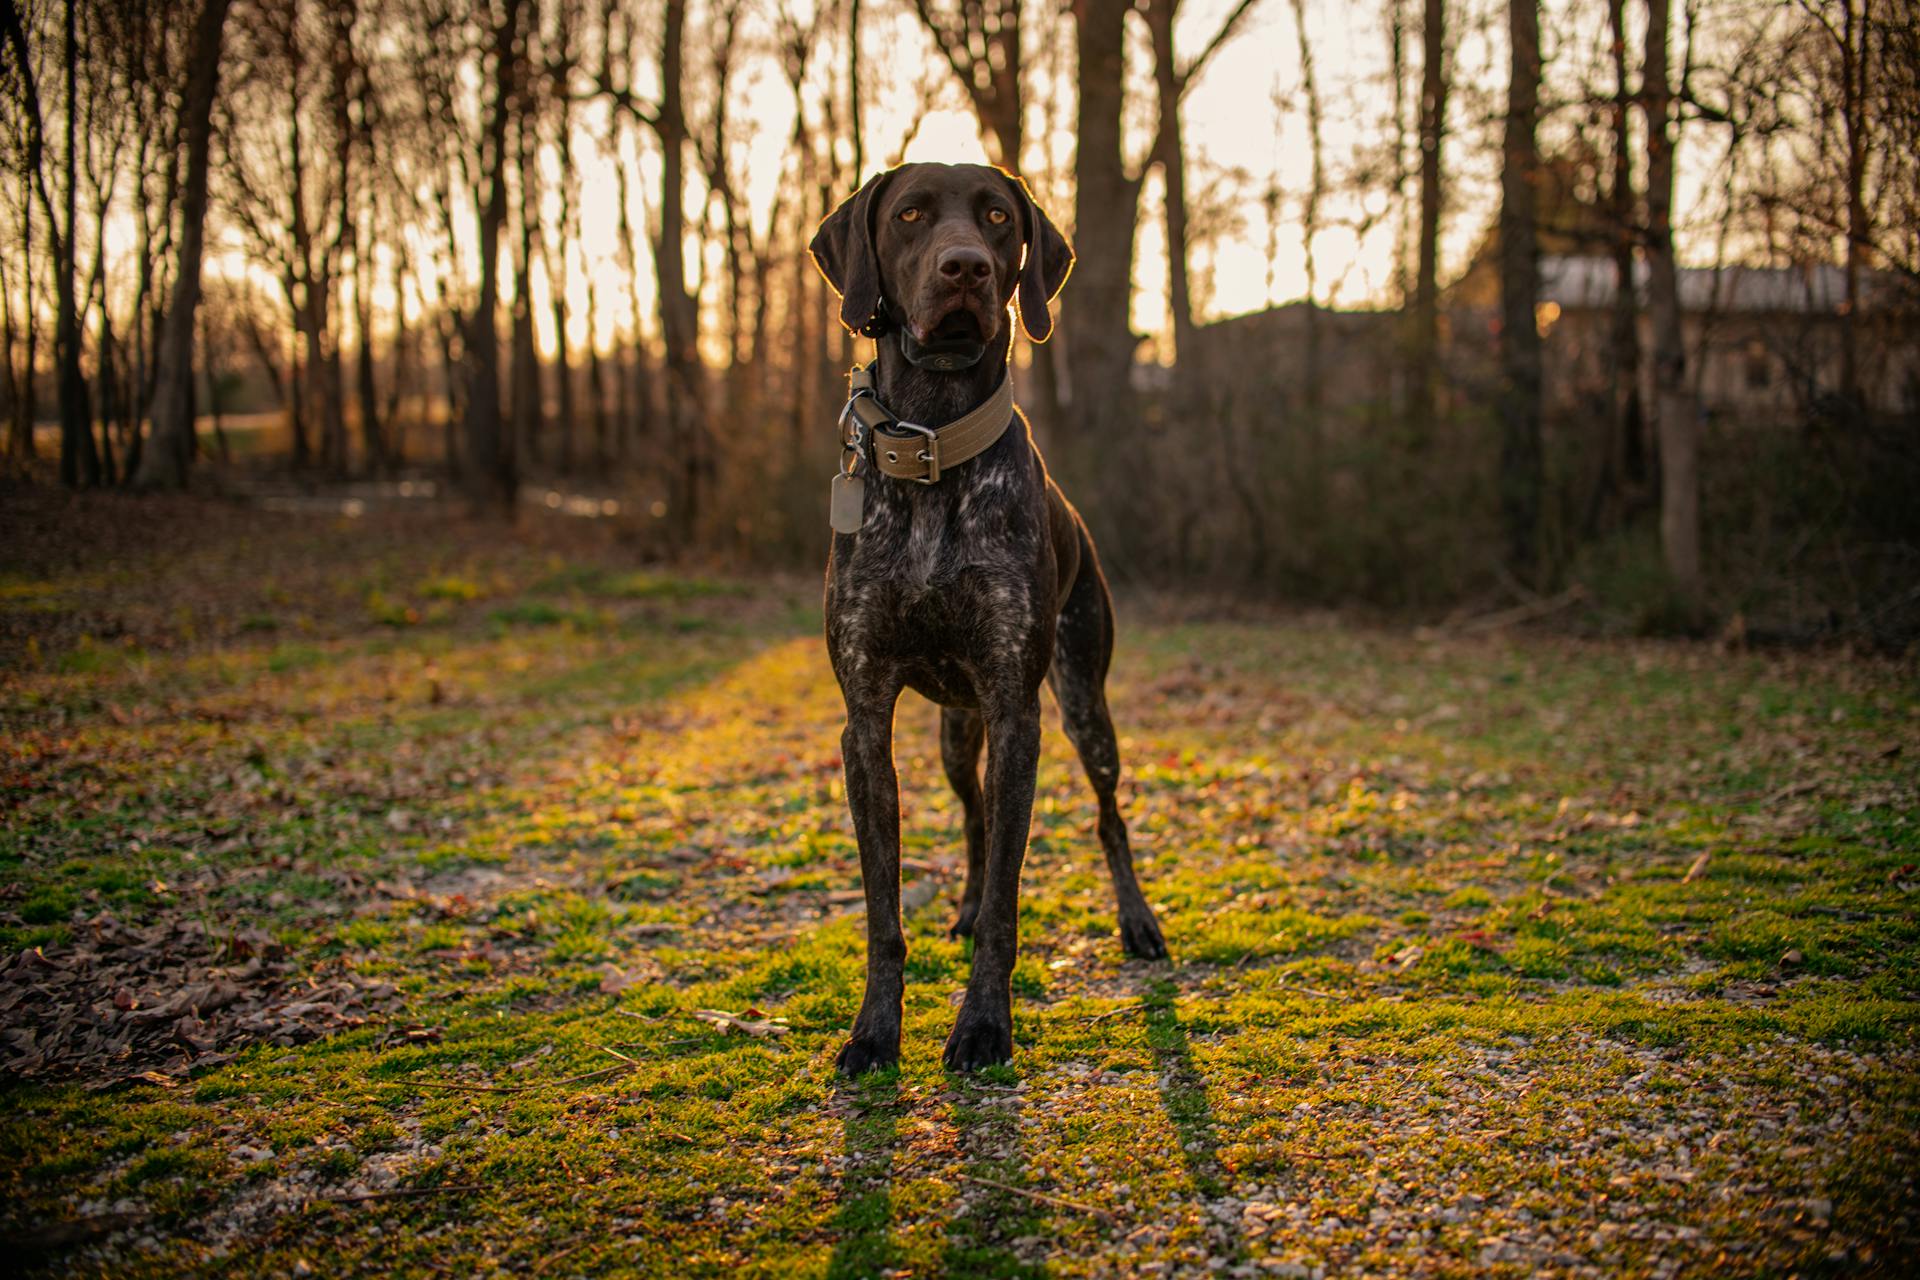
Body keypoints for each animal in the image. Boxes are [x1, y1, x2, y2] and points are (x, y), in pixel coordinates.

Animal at [810, 163, 1167, 1082]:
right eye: (909, 215)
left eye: (999, 218)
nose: (965, 267)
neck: (933, 438)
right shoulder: (867, 719)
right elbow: (885, 911)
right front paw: (875, 1031)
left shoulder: (1017, 714)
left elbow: (1011, 898)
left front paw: (982, 1026)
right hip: (951, 733)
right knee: (972, 817)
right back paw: (965, 905)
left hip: (1082, 706)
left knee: (1109, 816)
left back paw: (1138, 922)